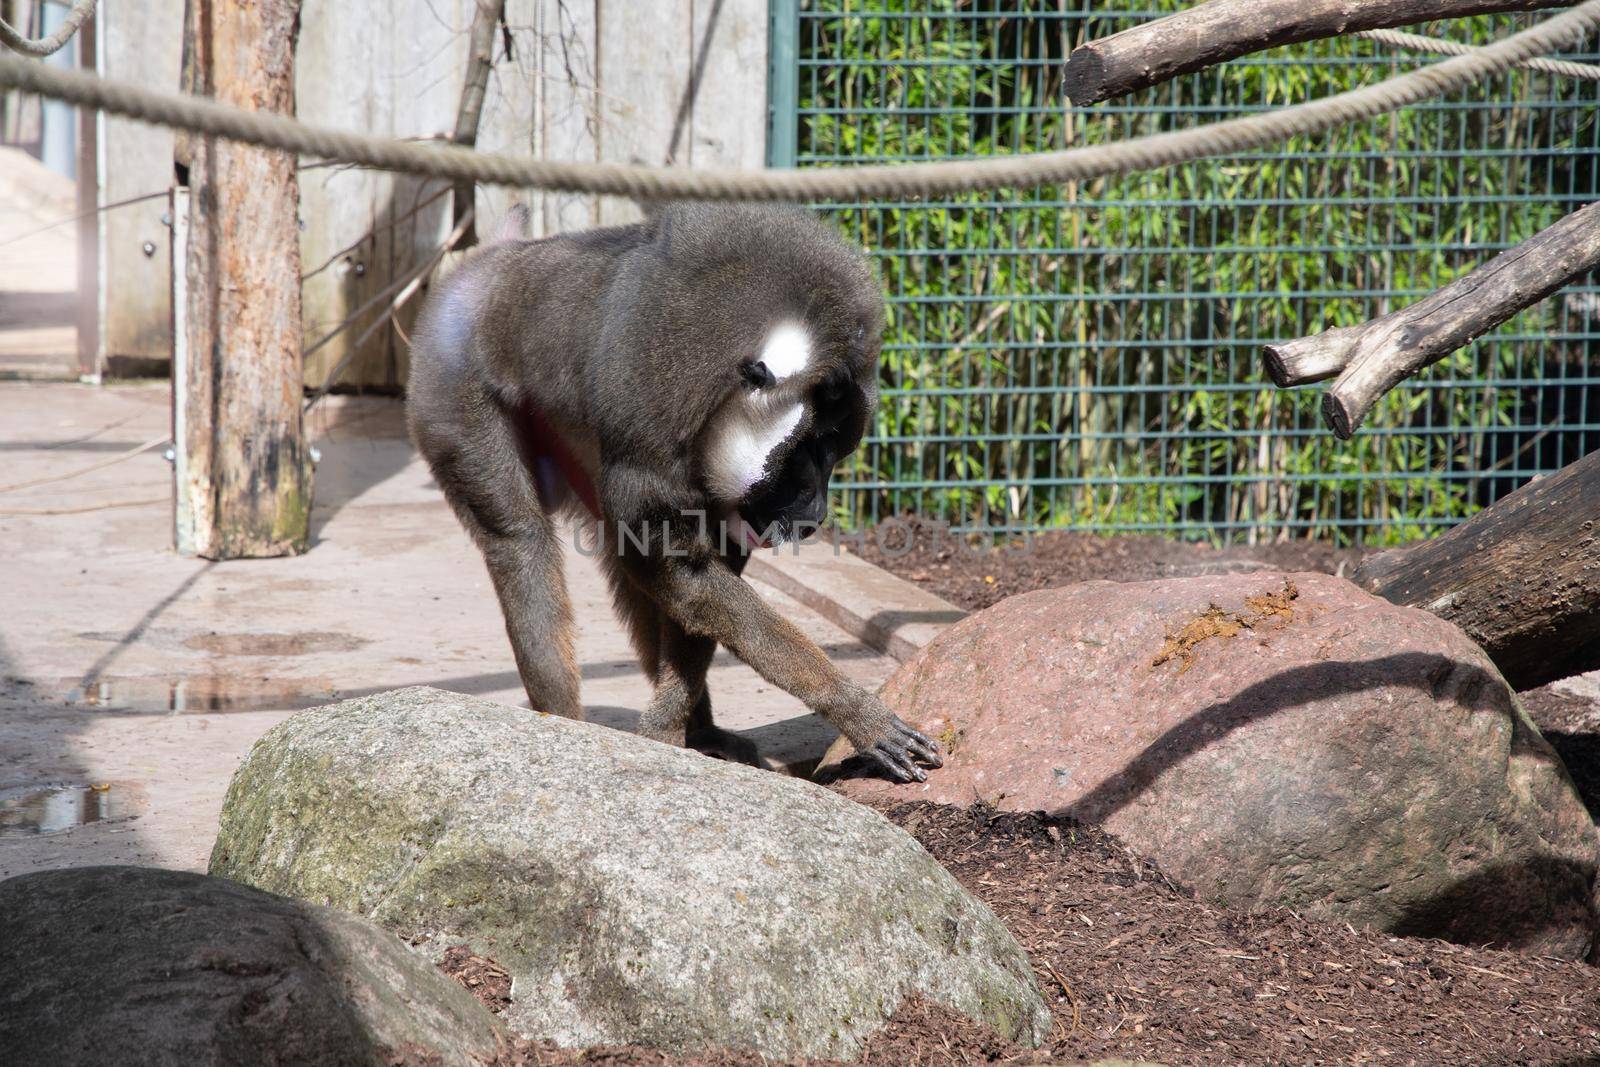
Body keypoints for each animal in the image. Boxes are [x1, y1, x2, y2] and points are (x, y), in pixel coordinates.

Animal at [406, 202, 940, 783]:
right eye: (808, 450)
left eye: (834, 453)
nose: (816, 514)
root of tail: (487, 264)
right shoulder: (651, 417)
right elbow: (683, 573)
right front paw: (856, 711)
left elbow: (693, 578)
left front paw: (672, 728)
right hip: (451, 387)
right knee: (520, 542)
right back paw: (563, 724)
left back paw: (699, 730)